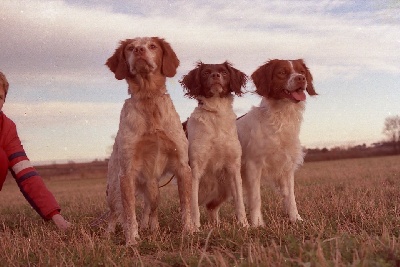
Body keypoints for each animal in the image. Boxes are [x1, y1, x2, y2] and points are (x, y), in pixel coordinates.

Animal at [105, 37, 193, 247]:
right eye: (129, 48)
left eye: (152, 46)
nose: (138, 50)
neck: (148, 98)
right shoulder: (126, 174)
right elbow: (129, 214)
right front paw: (132, 240)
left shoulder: (182, 166)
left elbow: (186, 205)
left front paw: (190, 231)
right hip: (113, 191)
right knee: (114, 213)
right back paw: (109, 233)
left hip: (154, 192)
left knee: (150, 211)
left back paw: (153, 229)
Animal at [180, 62, 248, 228]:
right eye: (205, 73)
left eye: (224, 72)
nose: (215, 75)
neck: (216, 113)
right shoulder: (195, 169)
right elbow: (193, 205)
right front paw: (195, 228)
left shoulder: (233, 168)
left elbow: (240, 203)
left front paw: (245, 225)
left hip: (224, 188)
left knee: (211, 207)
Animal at [236, 59, 318, 227]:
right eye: (281, 72)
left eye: (302, 71)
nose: (301, 78)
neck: (281, 118)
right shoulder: (253, 165)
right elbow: (256, 198)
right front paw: (257, 224)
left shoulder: (287, 167)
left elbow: (291, 198)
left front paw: (296, 219)